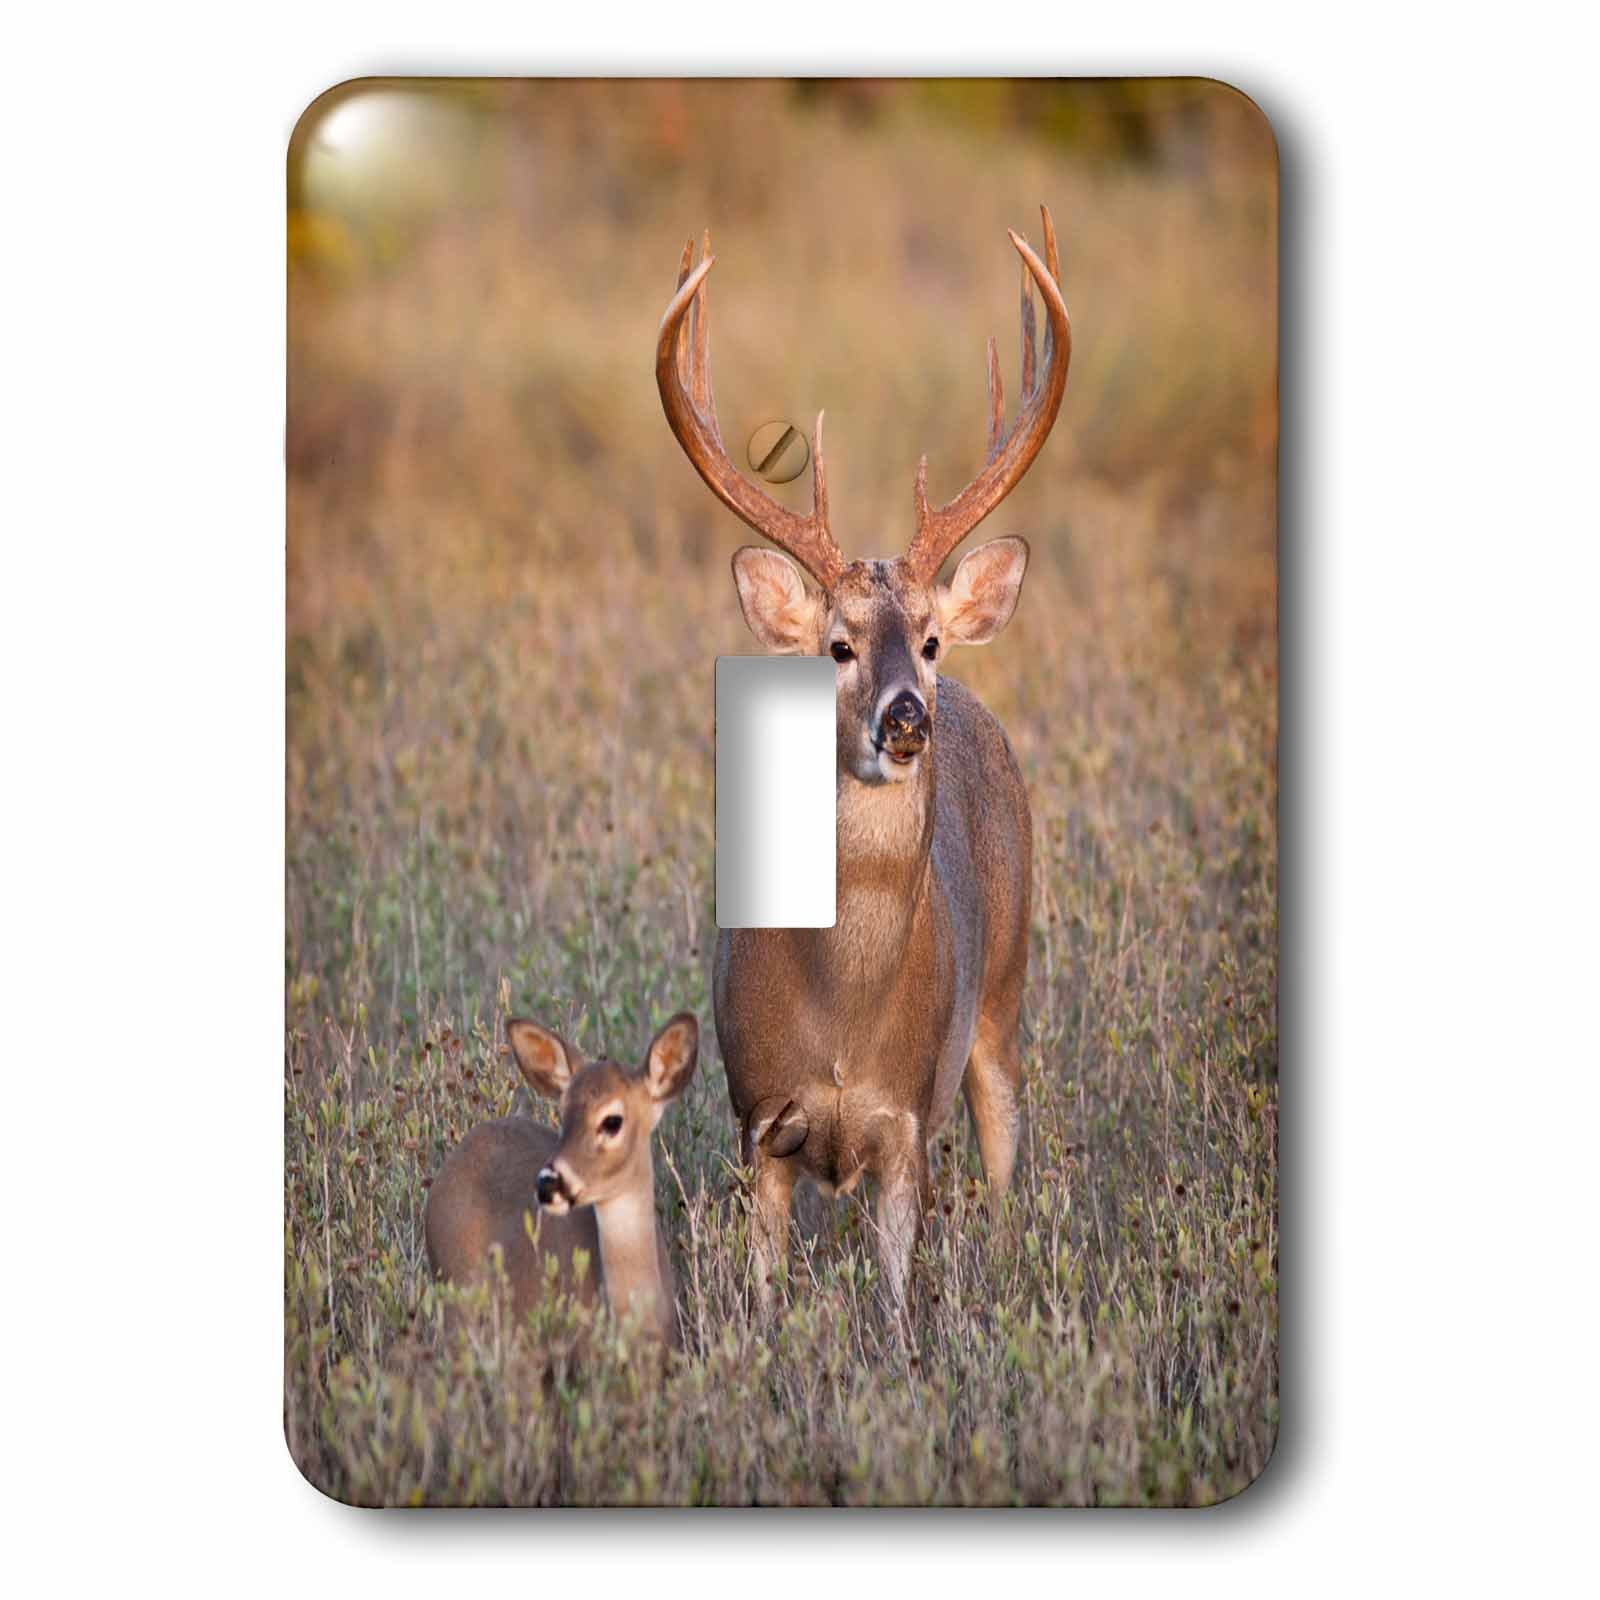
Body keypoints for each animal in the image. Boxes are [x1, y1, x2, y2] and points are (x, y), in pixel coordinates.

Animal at [656, 207, 1070, 1315]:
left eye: (929, 639)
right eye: (836, 645)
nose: (906, 715)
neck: (843, 1019)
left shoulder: (908, 1122)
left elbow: (895, 1302)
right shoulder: (756, 1115)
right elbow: (760, 1291)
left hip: (1002, 996)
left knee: (1007, 1161)